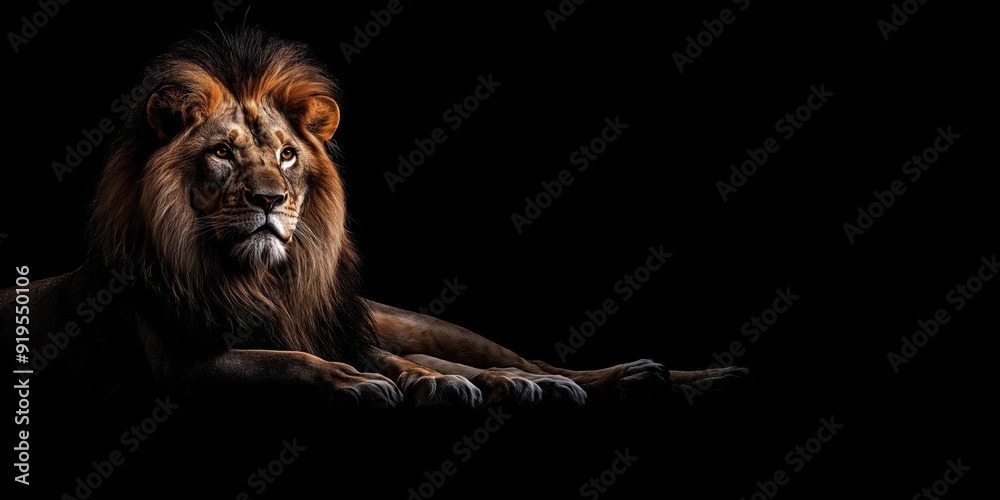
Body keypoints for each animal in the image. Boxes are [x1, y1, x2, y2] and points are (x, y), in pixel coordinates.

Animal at [2, 29, 745, 408]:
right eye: (222, 154)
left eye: (286, 154)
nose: (272, 200)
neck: (261, 279)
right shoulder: (179, 366)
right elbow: (290, 359)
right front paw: (359, 385)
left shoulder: (354, 335)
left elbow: (411, 365)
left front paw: (450, 384)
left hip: (419, 323)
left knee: (517, 356)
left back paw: (649, 377)